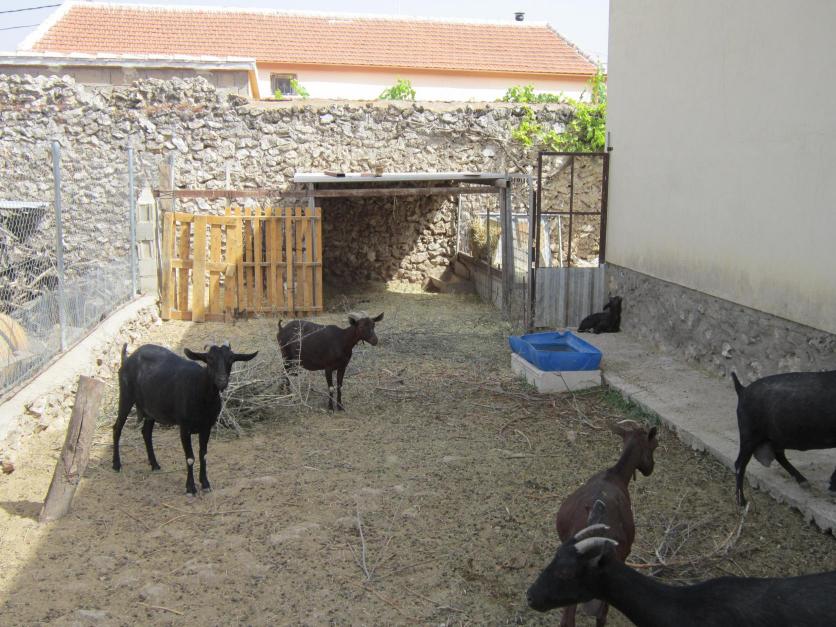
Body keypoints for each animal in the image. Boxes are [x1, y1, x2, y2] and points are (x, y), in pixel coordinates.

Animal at [112, 342, 258, 495]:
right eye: (209, 359)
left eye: (231, 360)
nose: (221, 381)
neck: (201, 393)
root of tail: (127, 358)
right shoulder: (184, 427)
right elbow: (190, 458)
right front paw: (191, 488)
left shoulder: (207, 427)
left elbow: (203, 455)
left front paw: (205, 484)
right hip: (126, 396)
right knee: (117, 428)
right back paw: (116, 465)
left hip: (151, 409)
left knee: (146, 432)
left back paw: (155, 465)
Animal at [731, 370, 836, 507]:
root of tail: (742, 390)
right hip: (750, 435)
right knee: (739, 464)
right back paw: (741, 502)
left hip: (776, 438)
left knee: (779, 455)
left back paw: (804, 482)